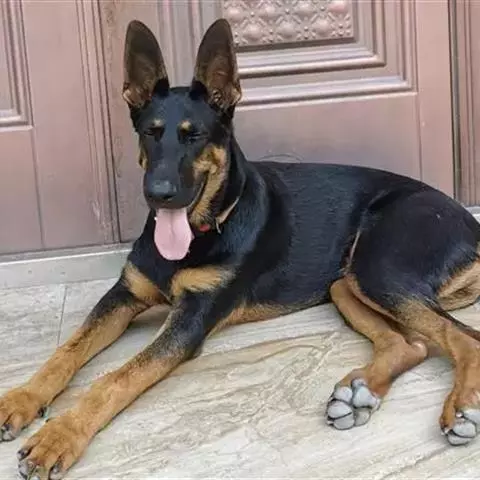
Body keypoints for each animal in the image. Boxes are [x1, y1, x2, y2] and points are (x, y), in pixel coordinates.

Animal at [3, 18, 480, 479]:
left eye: (194, 136)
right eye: (150, 134)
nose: (159, 194)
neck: (204, 232)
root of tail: (469, 222)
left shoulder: (191, 320)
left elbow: (116, 378)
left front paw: (60, 434)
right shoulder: (123, 295)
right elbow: (66, 351)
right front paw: (22, 397)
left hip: (378, 269)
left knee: (465, 337)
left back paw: (461, 407)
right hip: (345, 284)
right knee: (411, 344)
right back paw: (358, 393)